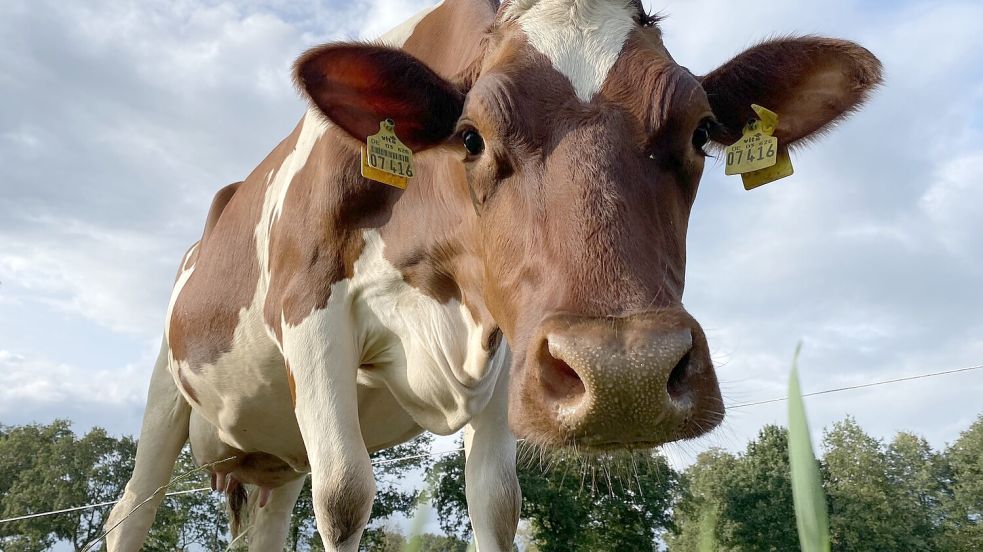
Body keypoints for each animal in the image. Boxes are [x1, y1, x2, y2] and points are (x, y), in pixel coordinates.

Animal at [107, 0, 884, 548]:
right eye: (470, 136)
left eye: (698, 133)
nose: (624, 377)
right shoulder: (308, 307)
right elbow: (346, 496)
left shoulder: (508, 343)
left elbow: (498, 505)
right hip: (165, 392)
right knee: (130, 512)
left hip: (276, 456)